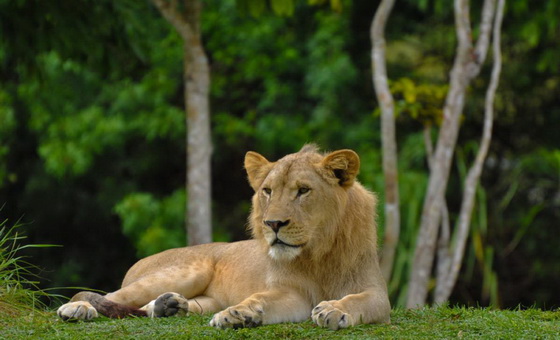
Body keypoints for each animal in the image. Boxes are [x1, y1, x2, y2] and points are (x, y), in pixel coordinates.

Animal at [57, 144, 390, 330]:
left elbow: (358, 300)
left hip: (202, 295)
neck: (316, 253)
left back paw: (166, 306)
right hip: (185, 271)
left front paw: (335, 309)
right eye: (268, 191)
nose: (273, 223)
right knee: (106, 296)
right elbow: (261, 298)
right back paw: (77, 310)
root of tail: (137, 263)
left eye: (303, 190)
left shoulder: (376, 293)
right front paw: (239, 314)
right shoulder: (290, 291)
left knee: (154, 307)